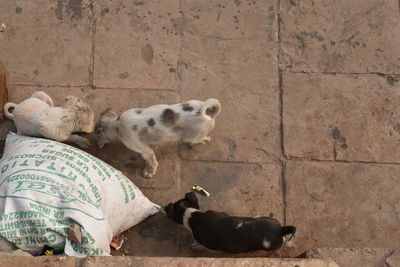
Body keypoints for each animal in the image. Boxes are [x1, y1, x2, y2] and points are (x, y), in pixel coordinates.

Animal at [163, 194, 296, 254]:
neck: (192, 215)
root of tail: (280, 229)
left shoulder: (211, 246)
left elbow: (204, 246)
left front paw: (196, 246)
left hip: (271, 246)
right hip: (270, 220)